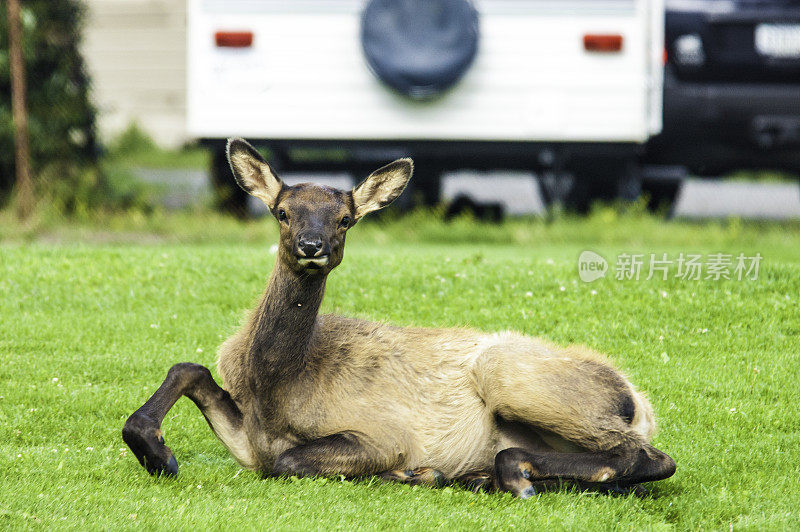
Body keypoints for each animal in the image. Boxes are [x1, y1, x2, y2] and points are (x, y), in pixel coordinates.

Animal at [123, 139, 676, 496]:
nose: (311, 245)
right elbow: (190, 368)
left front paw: (410, 472)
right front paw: (159, 454)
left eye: (346, 219)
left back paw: (505, 475)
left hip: (512, 374)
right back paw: (480, 477)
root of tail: (638, 401)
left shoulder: (384, 433)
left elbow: (288, 460)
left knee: (649, 456)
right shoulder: (246, 438)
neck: (275, 383)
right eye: (282, 212)